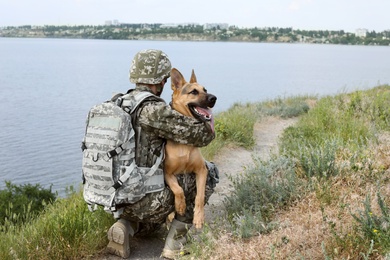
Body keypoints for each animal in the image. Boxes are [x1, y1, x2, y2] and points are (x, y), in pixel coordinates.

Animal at [165, 68, 218, 229]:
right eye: (193, 92)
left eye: (205, 89)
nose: (214, 98)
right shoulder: (166, 173)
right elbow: (178, 189)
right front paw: (180, 206)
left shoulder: (202, 170)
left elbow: (199, 197)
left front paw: (198, 217)